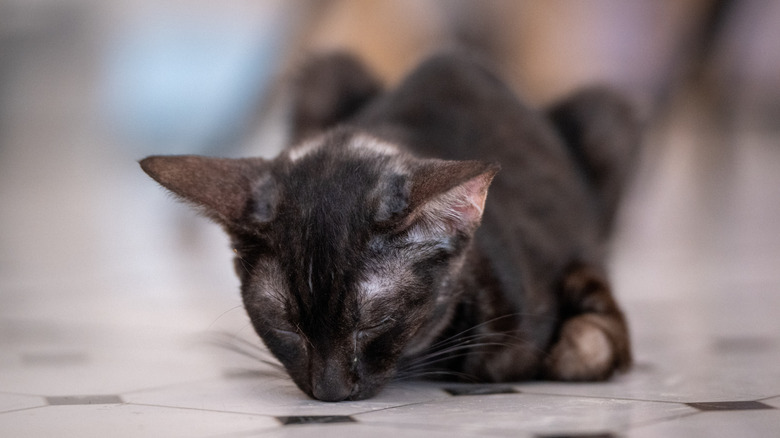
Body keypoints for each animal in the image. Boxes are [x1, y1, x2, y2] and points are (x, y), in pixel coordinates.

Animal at [142, 49, 640, 402]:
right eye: (283, 326)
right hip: (325, 72)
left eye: (375, 323)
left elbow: (588, 342)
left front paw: (571, 346)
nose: (330, 393)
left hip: (608, 115)